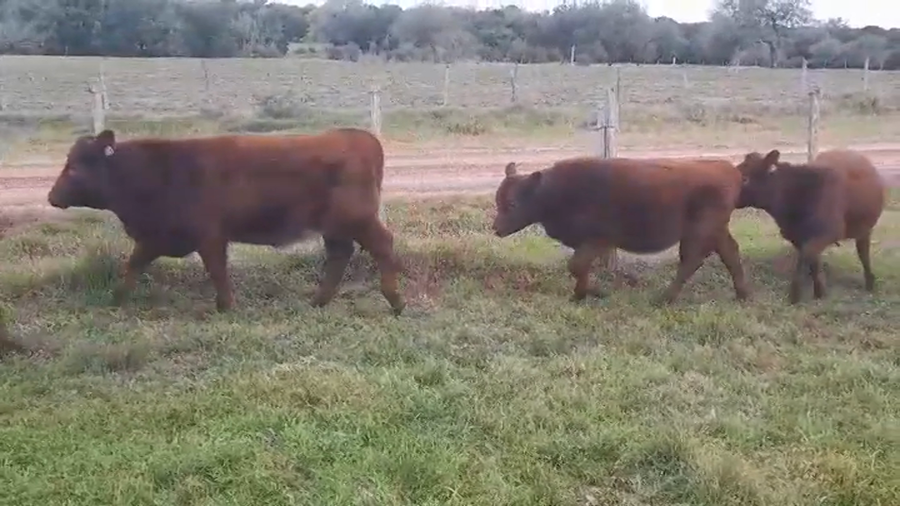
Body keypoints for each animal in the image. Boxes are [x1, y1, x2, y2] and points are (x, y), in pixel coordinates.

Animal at [47, 127, 405, 315]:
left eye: (75, 168)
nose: (51, 196)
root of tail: (357, 136)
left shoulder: (209, 237)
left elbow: (217, 270)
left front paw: (226, 305)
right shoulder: (156, 237)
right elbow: (133, 264)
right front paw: (118, 298)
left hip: (358, 219)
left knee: (382, 246)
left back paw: (395, 301)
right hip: (335, 227)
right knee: (339, 256)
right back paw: (318, 301)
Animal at [491, 156, 751, 304]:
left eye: (512, 203)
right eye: (498, 200)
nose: (496, 229)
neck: (555, 191)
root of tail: (728, 169)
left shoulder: (597, 240)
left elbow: (576, 266)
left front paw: (589, 293)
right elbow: (579, 267)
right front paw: (583, 294)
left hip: (698, 233)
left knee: (692, 261)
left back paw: (663, 298)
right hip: (717, 230)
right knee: (730, 253)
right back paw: (742, 295)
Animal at [735, 148, 886, 304]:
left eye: (745, 178)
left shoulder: (828, 233)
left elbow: (805, 258)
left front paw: (795, 295)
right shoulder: (796, 237)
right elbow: (813, 262)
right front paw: (819, 292)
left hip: (865, 229)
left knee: (863, 253)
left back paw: (869, 282)